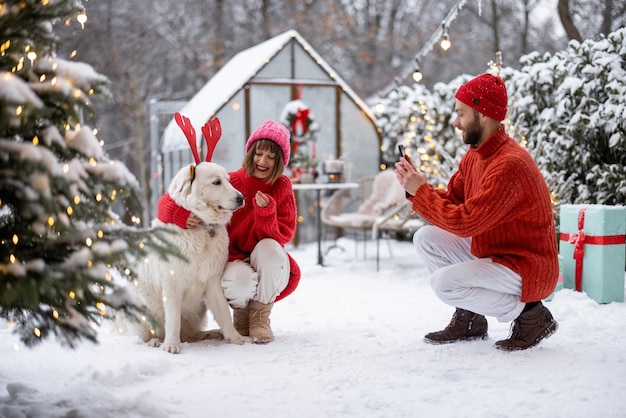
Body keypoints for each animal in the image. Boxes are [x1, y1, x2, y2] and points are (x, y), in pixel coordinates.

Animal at [135, 162, 251, 352]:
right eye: (217, 182)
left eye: (228, 180)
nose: (241, 198)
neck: (202, 227)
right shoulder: (172, 284)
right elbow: (173, 320)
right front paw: (171, 345)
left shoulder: (213, 281)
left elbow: (224, 313)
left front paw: (236, 338)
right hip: (147, 309)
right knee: (149, 335)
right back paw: (155, 341)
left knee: (190, 334)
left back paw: (211, 333)